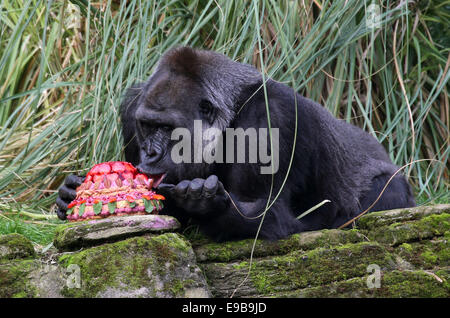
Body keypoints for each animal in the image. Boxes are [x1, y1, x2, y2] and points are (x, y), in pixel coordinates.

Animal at [56, 46, 414, 241]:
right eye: (147, 127)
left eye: (167, 129)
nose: (151, 152)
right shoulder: (133, 107)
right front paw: (69, 193)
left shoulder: (270, 115)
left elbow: (268, 215)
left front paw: (205, 203)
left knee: (381, 195)